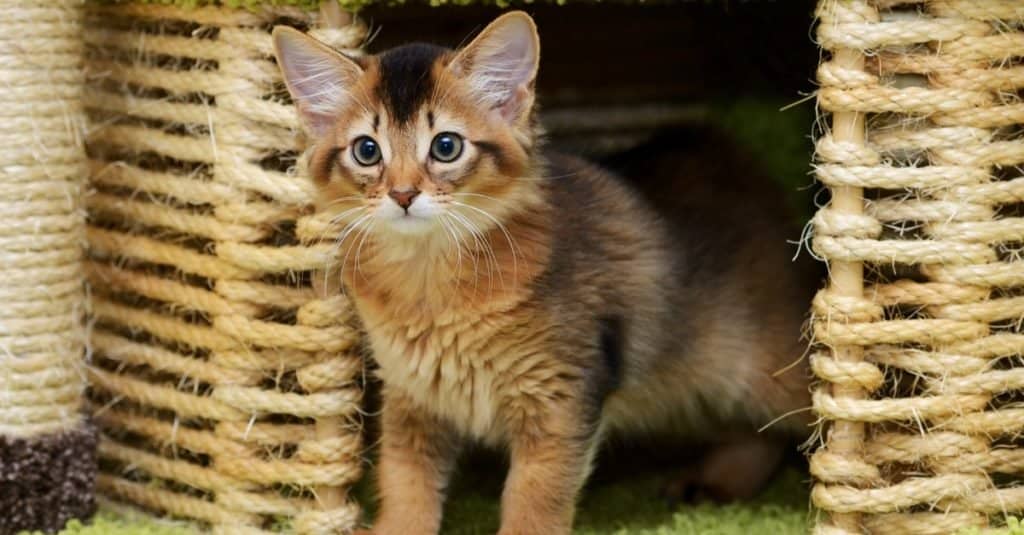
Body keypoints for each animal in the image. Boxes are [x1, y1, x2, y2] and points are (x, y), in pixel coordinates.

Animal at [274, 12, 815, 532]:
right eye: (367, 151)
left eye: (446, 146)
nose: (403, 195)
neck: (429, 283)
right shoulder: (412, 395)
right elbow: (404, 481)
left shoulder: (562, 393)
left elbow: (534, 497)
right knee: (754, 432)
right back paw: (714, 485)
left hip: (768, 368)